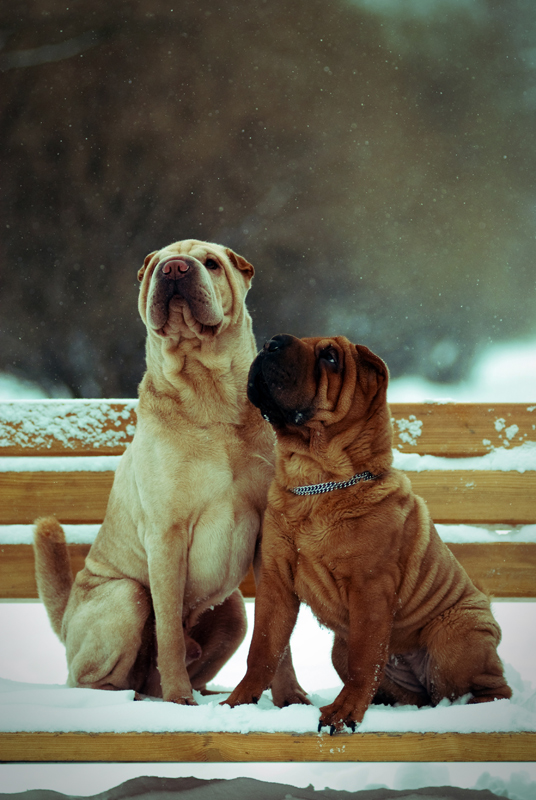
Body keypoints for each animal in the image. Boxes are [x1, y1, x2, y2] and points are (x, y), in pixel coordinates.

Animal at [34, 241, 306, 704]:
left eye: (211, 263)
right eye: (157, 263)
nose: (175, 268)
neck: (209, 395)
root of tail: (67, 616)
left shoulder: (269, 534)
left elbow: (278, 635)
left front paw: (290, 698)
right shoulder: (166, 533)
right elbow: (169, 634)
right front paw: (181, 700)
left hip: (233, 611)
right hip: (125, 596)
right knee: (100, 676)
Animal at [225, 334, 510, 736]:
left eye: (330, 357)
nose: (273, 342)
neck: (315, 482)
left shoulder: (370, 587)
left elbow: (364, 660)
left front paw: (343, 714)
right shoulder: (276, 581)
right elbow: (263, 648)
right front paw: (237, 703)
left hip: (455, 636)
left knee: (488, 686)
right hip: (340, 649)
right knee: (408, 692)